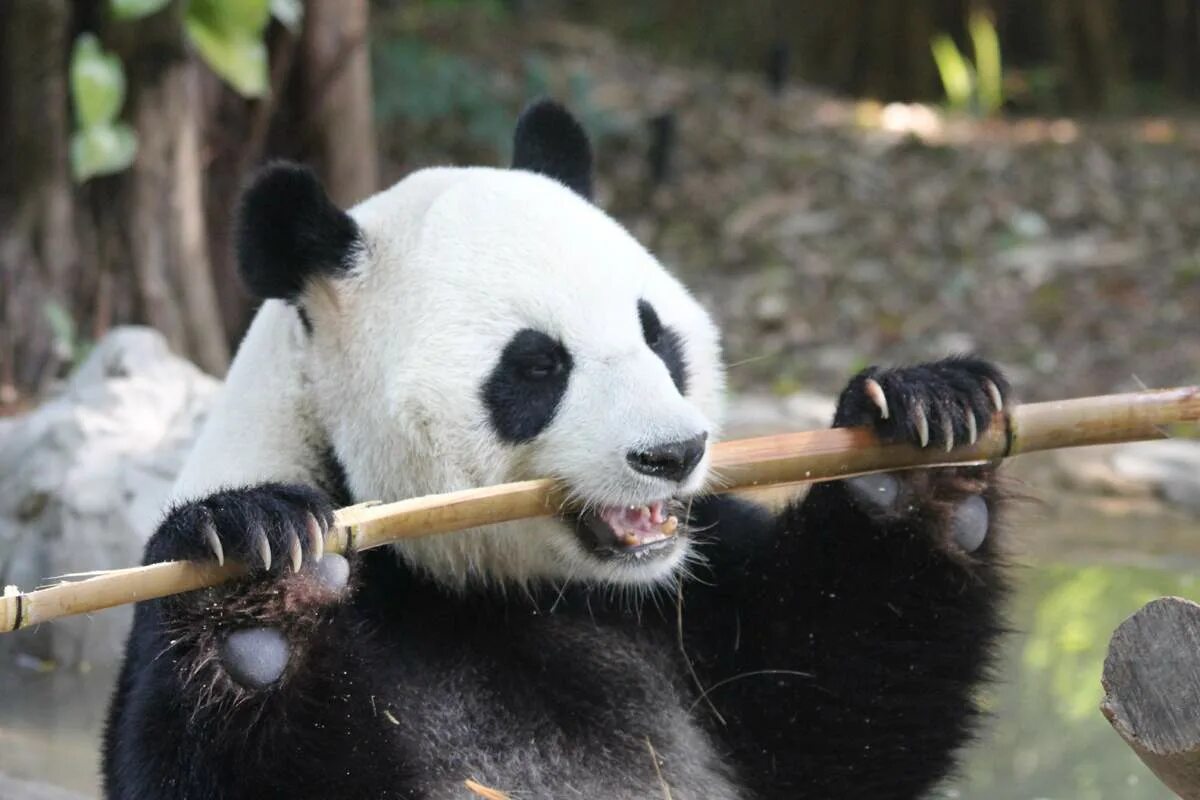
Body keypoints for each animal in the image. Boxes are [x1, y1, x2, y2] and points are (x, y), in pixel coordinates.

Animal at [100, 101, 1012, 800]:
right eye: (537, 366)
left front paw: (920, 442)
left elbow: (836, 711)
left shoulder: (686, 604)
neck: (492, 597)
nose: (673, 453)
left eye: (656, 334)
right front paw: (257, 588)